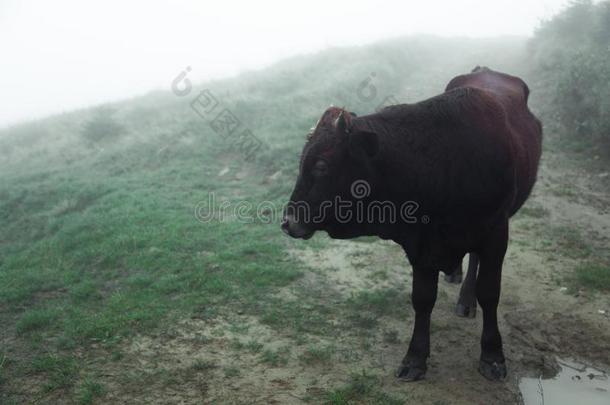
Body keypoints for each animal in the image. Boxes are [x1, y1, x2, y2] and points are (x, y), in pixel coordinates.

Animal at [282, 65, 540, 378]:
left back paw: (466, 299)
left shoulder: (495, 234)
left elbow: (490, 293)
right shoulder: (421, 243)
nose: (288, 221)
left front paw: (492, 355)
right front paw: (415, 357)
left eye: (322, 165)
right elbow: (423, 298)